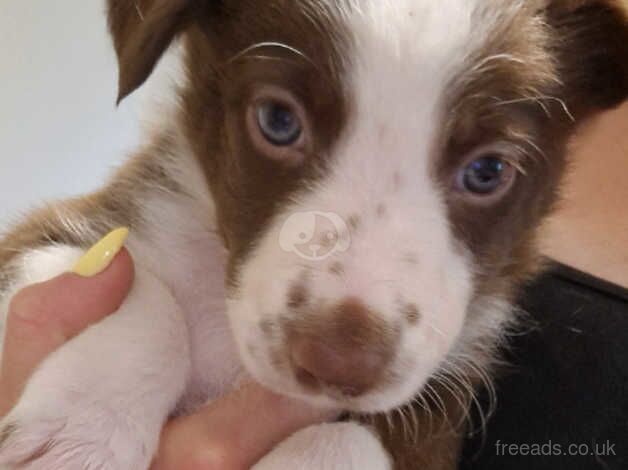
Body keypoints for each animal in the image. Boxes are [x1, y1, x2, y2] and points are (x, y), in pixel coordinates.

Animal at [1, 0, 628, 470]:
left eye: (489, 171)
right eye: (278, 121)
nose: (338, 366)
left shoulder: (436, 406)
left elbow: (353, 437)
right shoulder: (59, 235)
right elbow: (143, 293)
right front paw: (81, 435)